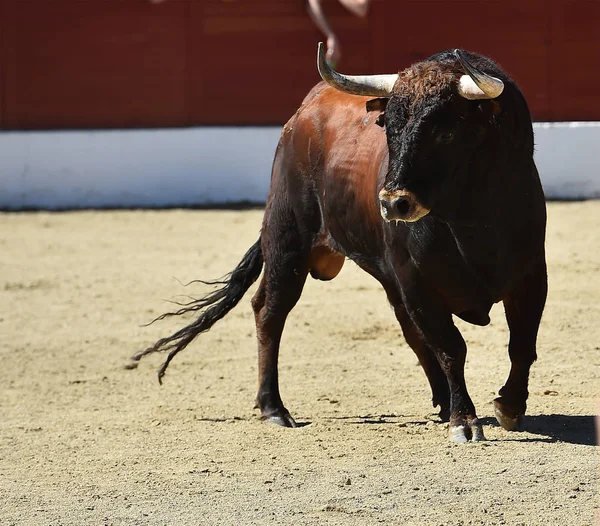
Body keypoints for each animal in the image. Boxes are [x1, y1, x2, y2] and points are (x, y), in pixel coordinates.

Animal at [134, 43, 548, 444]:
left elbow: (521, 344)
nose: (393, 203)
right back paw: (273, 408)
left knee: (409, 332)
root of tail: (303, 112)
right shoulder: (417, 282)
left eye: (446, 133)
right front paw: (465, 421)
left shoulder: (531, 277)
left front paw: (509, 407)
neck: (471, 219)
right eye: (388, 129)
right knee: (270, 311)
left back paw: (442, 402)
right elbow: (451, 348)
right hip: (287, 241)